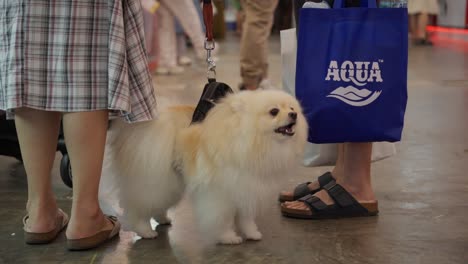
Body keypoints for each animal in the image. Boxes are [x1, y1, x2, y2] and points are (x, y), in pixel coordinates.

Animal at [105, 89, 308, 244]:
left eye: (291, 108)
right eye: (274, 111)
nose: (294, 115)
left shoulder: (245, 189)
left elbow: (246, 217)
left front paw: (252, 233)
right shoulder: (219, 195)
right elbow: (222, 219)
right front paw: (227, 238)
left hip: (170, 184)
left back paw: (162, 219)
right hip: (156, 181)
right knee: (138, 207)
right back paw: (146, 231)